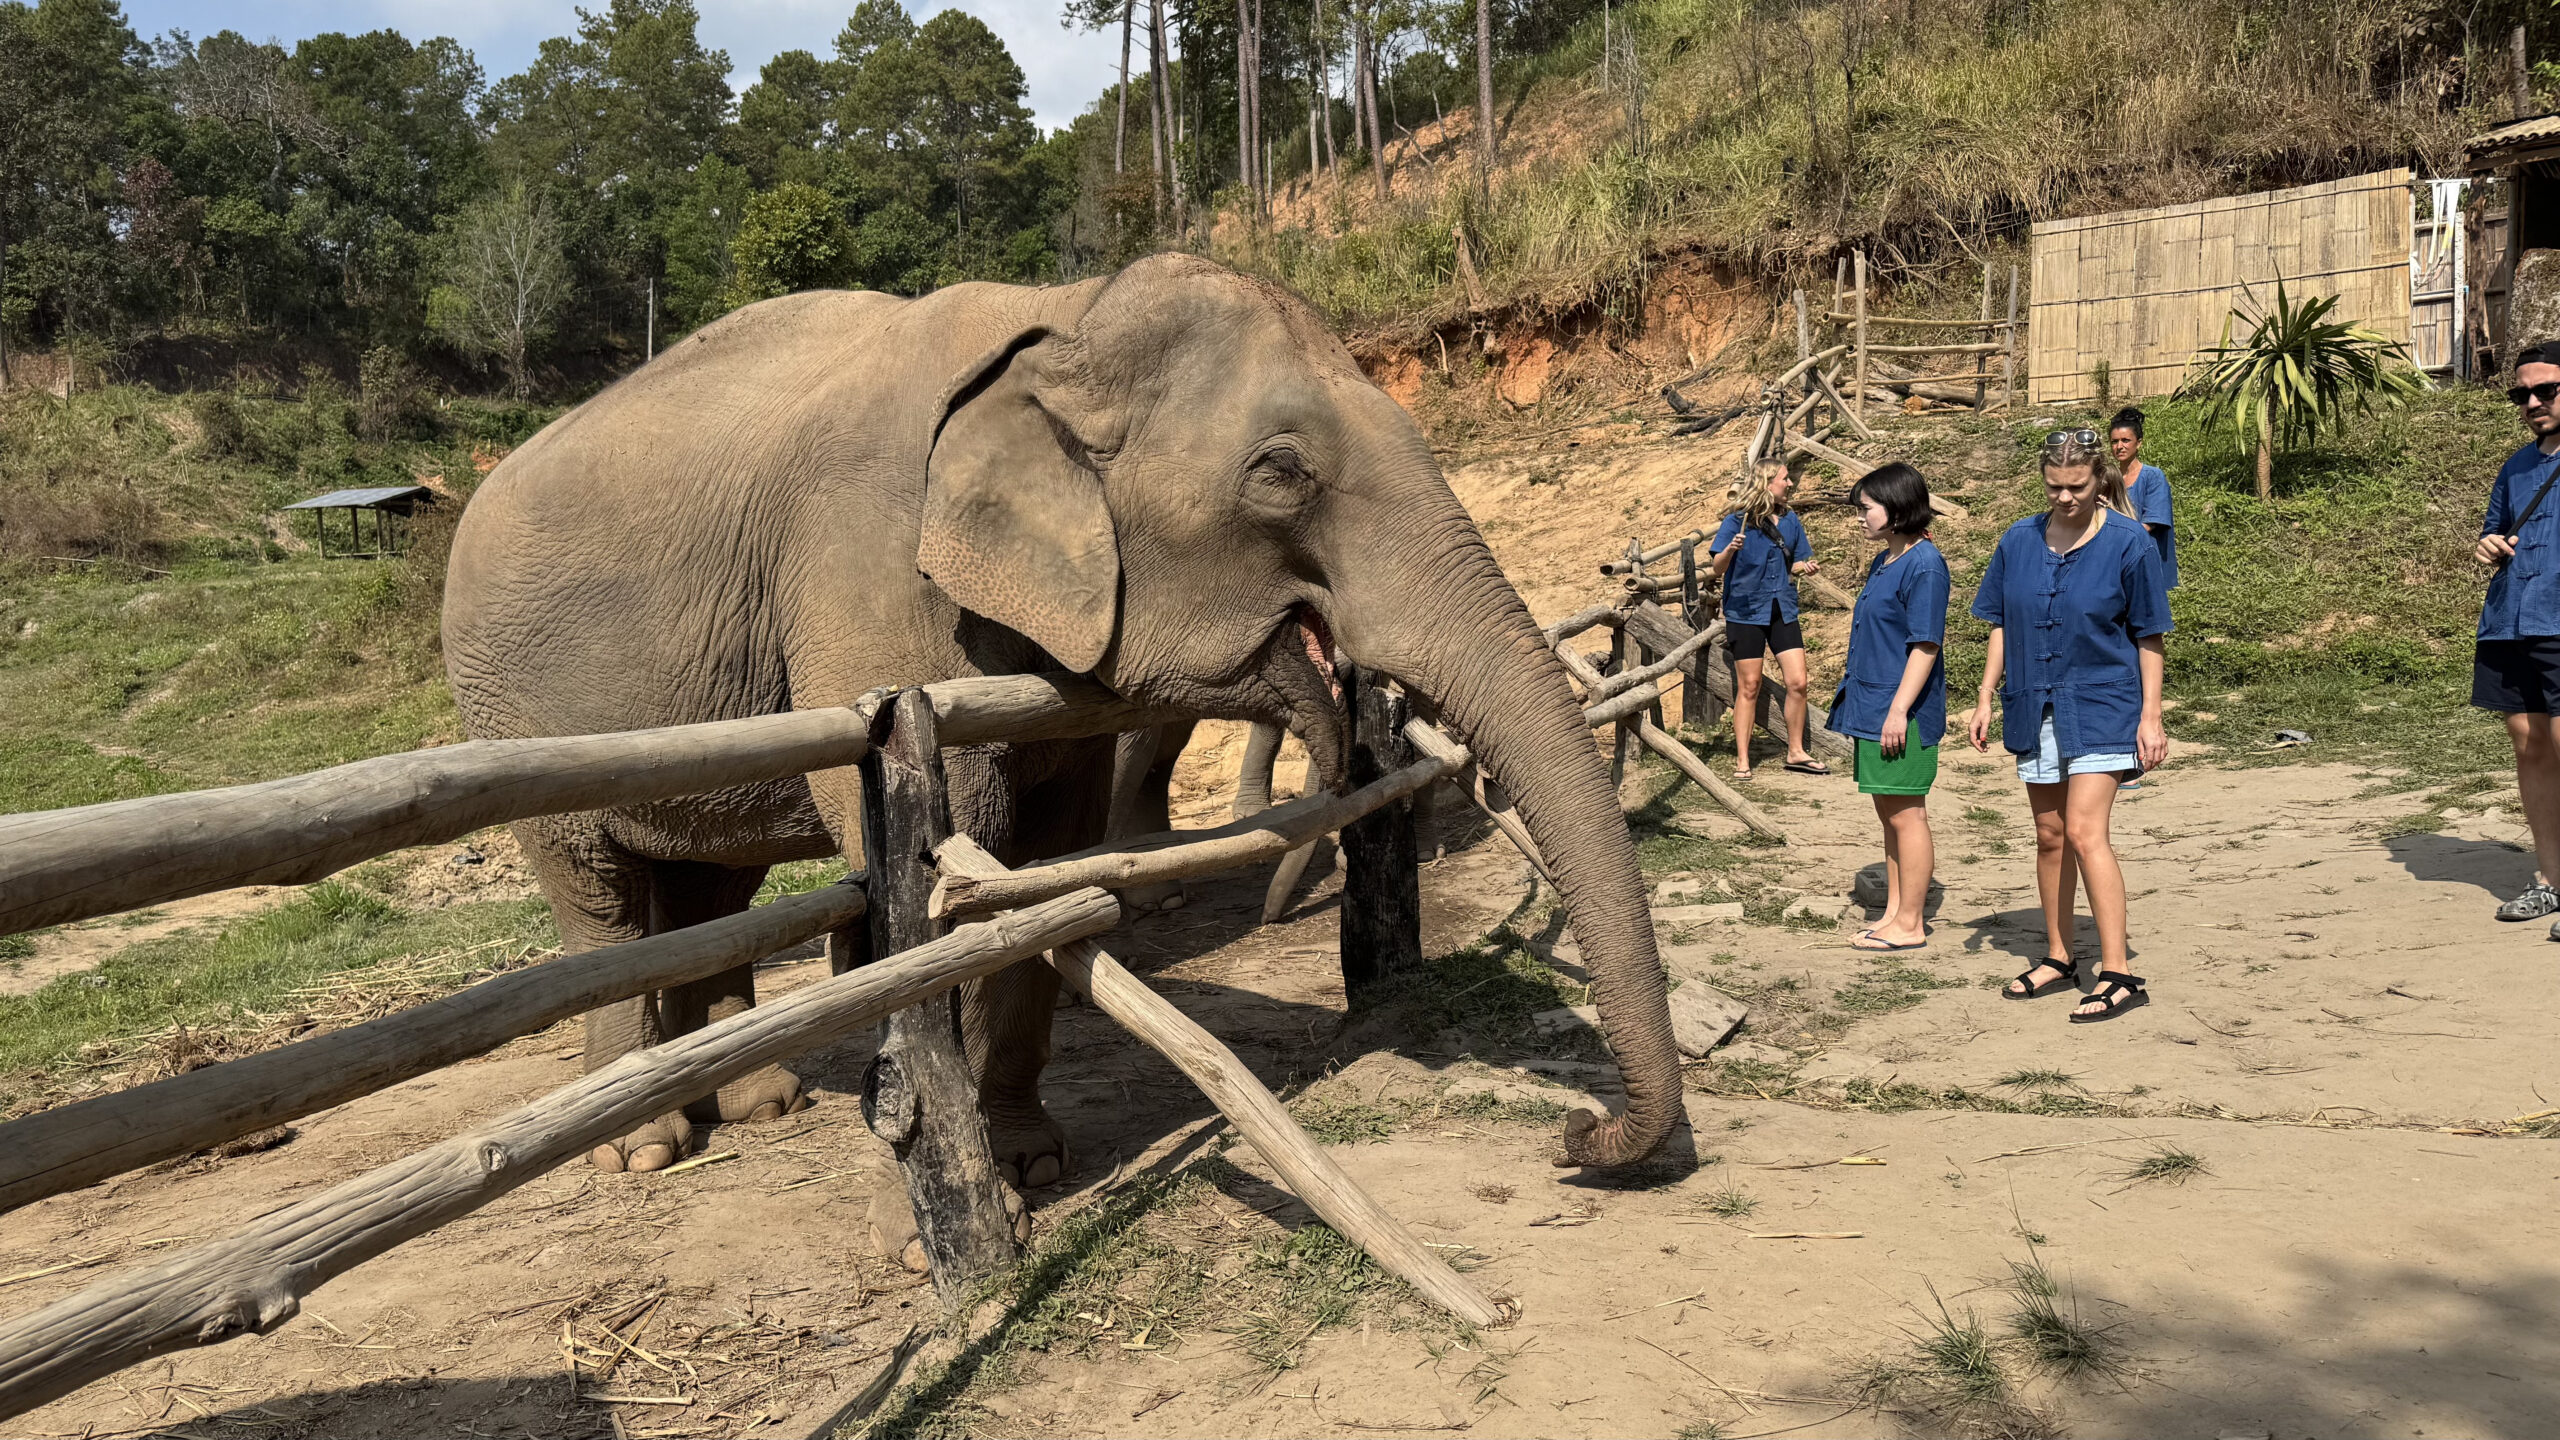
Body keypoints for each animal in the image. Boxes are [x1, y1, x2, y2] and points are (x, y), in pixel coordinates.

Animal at [440, 254, 1683, 1238]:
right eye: (1281, 473)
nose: (1579, 1136)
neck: (1059, 313)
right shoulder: (867, 590)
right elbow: (947, 874)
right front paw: (948, 1228)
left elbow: (1042, 866)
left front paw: (1034, 1159)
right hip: (511, 707)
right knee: (602, 899)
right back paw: (645, 1143)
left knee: (708, 882)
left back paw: (755, 1103)